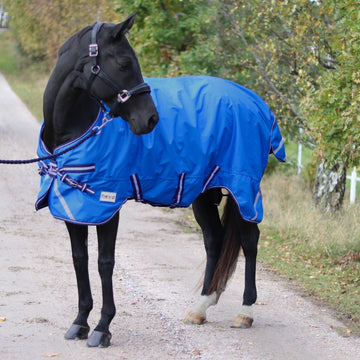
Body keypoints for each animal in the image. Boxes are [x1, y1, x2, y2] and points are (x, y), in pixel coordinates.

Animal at [41, 12, 284, 348]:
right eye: (124, 63)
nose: (150, 119)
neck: (77, 130)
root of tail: (258, 105)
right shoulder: (73, 207)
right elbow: (80, 259)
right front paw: (80, 323)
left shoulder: (107, 205)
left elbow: (105, 263)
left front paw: (103, 328)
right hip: (203, 192)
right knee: (215, 240)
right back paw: (200, 307)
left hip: (242, 189)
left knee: (249, 241)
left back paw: (245, 312)